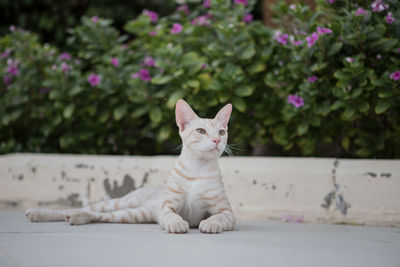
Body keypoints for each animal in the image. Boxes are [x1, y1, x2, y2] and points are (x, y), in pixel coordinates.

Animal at [25, 100, 236, 234]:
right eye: (201, 131)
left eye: (221, 132)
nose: (217, 140)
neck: (197, 169)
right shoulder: (167, 207)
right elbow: (170, 216)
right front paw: (177, 224)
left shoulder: (227, 212)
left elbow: (218, 217)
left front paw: (210, 224)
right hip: (121, 203)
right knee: (87, 208)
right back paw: (39, 213)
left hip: (133, 214)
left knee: (99, 215)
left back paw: (77, 217)